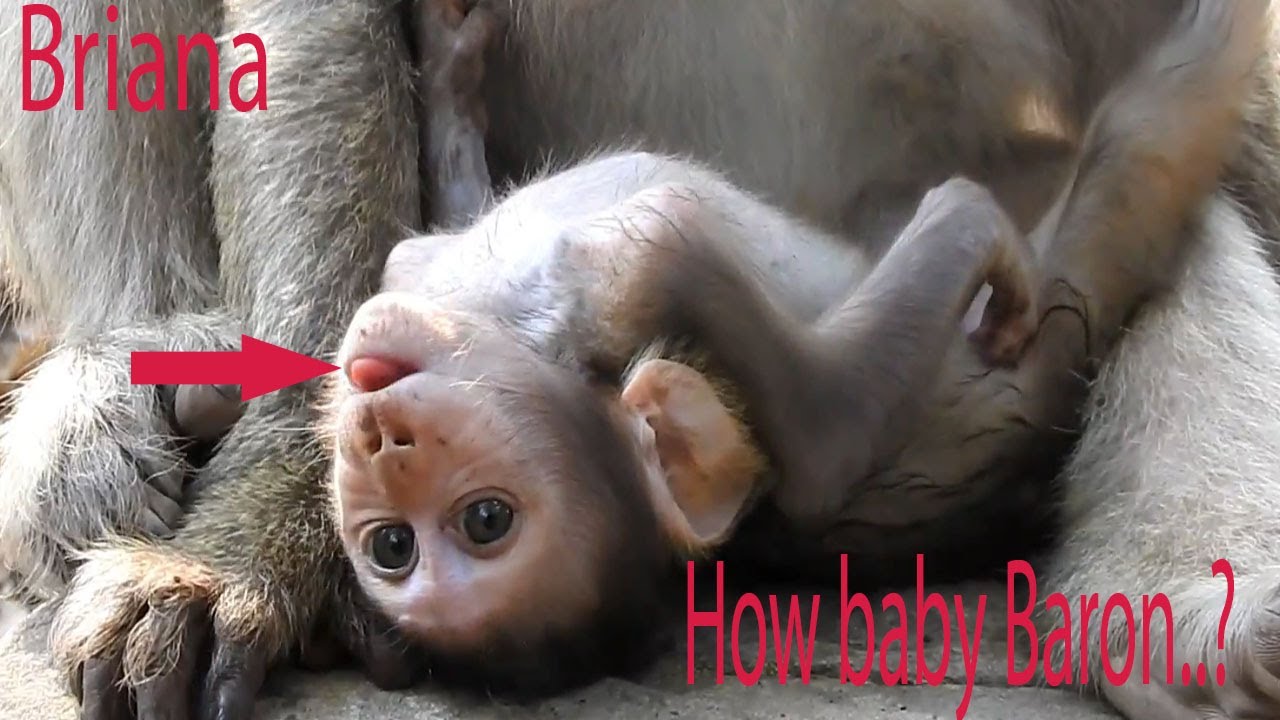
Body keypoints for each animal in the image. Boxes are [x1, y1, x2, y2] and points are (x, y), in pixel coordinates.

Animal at [0, 0, 1274, 719]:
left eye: (484, 520)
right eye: (393, 542)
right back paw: (149, 351)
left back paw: (1188, 605)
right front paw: (239, 545)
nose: (387, 435)